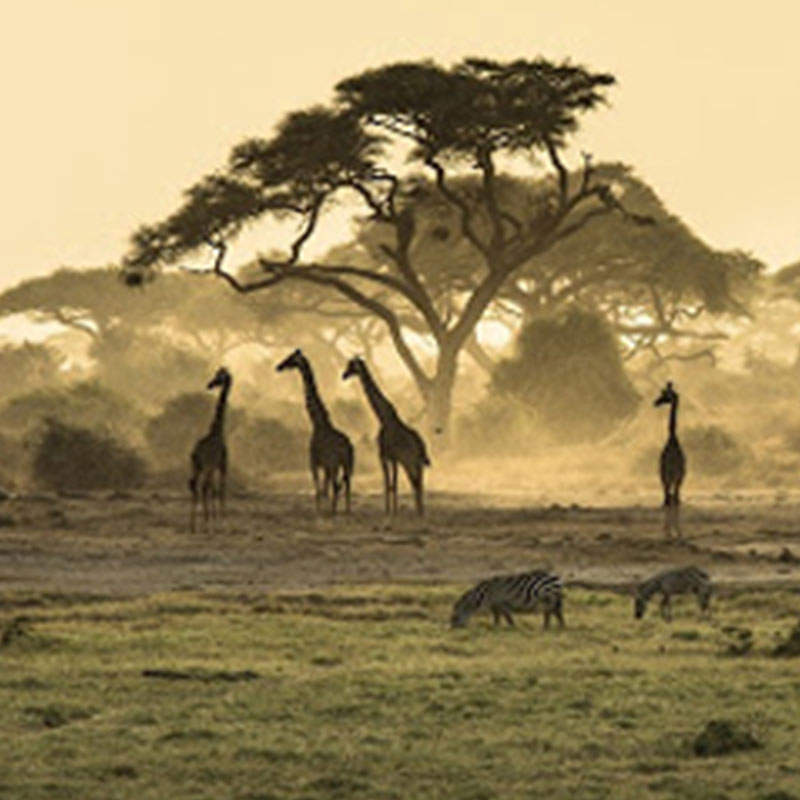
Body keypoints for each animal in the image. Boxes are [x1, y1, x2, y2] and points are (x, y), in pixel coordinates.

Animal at [189, 366, 231, 533]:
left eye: (220, 377)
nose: (210, 384)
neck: (217, 430)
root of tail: (195, 453)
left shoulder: (215, 467)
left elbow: (214, 490)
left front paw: (215, 521)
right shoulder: (222, 465)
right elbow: (221, 490)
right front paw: (222, 523)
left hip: (197, 467)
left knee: (194, 485)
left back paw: (193, 526)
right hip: (207, 467)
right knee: (204, 487)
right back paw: (206, 525)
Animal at [276, 349, 355, 514]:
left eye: (290, 358)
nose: (279, 366)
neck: (317, 423)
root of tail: (348, 447)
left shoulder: (314, 462)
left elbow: (319, 491)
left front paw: (318, 511)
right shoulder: (324, 465)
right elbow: (323, 490)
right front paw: (323, 509)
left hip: (335, 464)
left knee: (336, 486)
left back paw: (334, 511)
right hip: (346, 464)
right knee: (345, 485)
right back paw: (345, 510)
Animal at [342, 356, 430, 516]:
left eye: (352, 366)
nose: (344, 375)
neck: (384, 418)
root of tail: (421, 445)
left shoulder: (383, 455)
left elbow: (388, 484)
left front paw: (388, 511)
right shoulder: (393, 459)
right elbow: (393, 484)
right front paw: (393, 511)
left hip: (409, 461)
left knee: (415, 483)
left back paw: (418, 512)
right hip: (417, 463)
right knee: (418, 483)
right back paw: (420, 512)